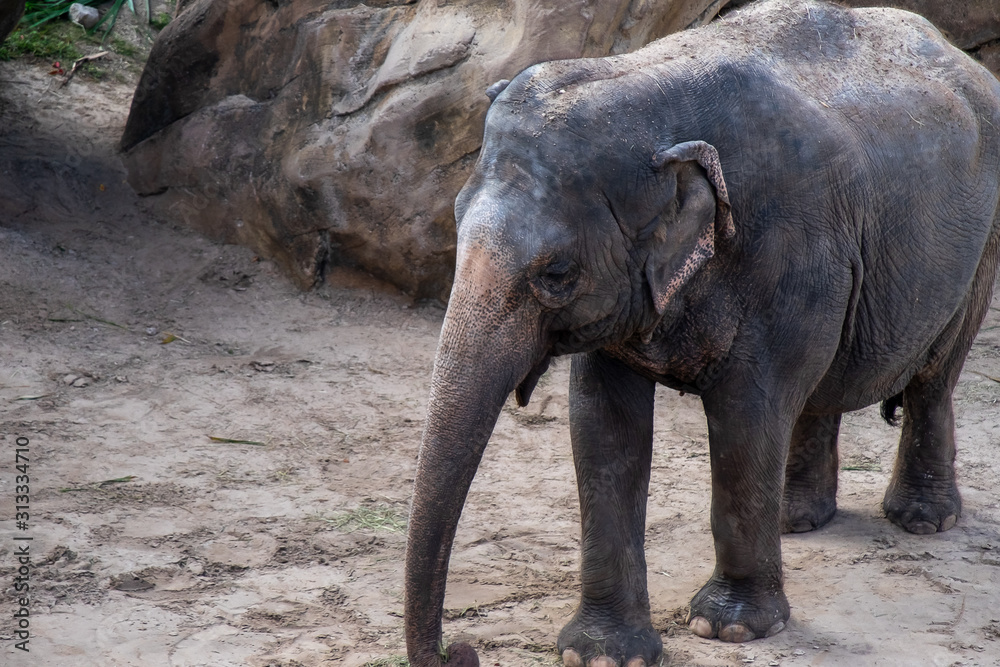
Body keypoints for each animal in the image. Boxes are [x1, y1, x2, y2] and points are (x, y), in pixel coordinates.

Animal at [400, 2, 1000, 664]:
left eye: (556, 273)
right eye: (455, 224)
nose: (462, 649)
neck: (643, 85)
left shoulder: (789, 252)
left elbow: (746, 416)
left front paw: (728, 628)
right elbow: (602, 427)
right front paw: (602, 653)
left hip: (981, 244)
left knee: (934, 376)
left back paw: (921, 520)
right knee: (820, 388)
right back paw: (796, 521)